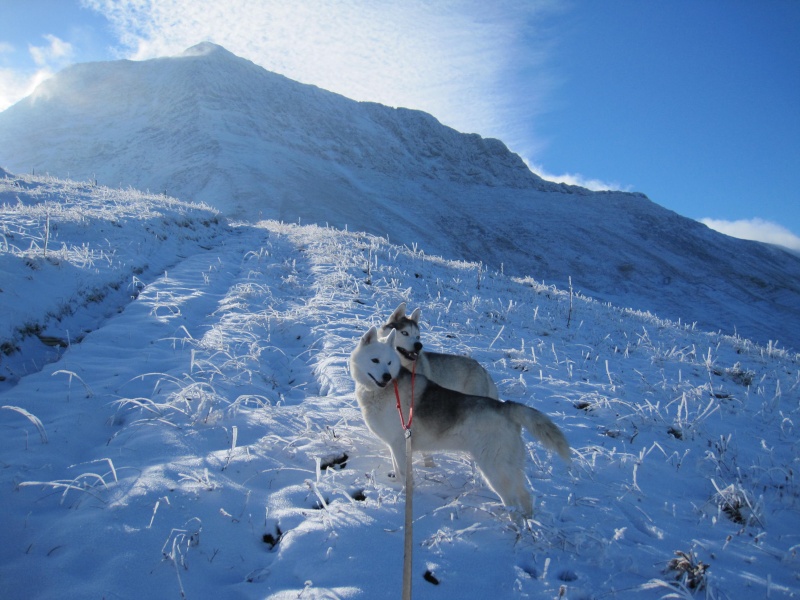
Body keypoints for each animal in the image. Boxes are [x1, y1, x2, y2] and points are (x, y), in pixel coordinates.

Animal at [350, 328, 568, 516]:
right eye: (375, 360)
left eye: (389, 362)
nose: (387, 376)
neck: (383, 391)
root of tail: (505, 407)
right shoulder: (395, 445)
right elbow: (397, 469)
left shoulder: (399, 444)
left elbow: (404, 474)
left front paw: (405, 496)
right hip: (510, 467)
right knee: (526, 497)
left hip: (495, 470)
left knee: (513, 502)